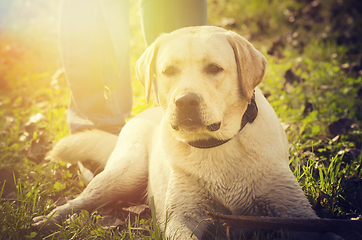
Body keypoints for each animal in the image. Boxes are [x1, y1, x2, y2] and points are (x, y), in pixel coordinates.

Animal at [32, 25, 340, 239]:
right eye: (168, 70)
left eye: (214, 68)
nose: (185, 102)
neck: (217, 145)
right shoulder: (181, 217)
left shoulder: (296, 213)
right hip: (122, 174)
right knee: (79, 201)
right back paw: (47, 220)